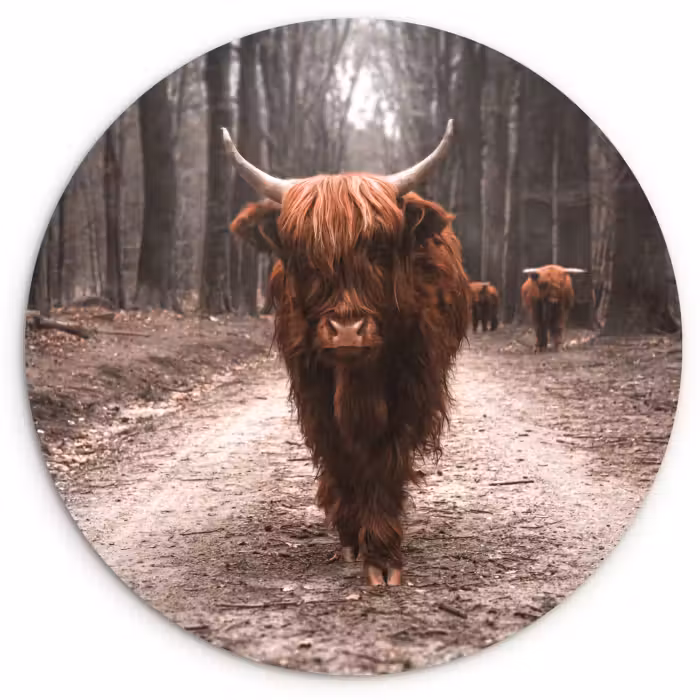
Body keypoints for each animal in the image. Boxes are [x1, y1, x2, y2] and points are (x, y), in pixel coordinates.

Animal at [223, 121, 470, 586]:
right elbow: (339, 453)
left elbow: (386, 459)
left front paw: (383, 553)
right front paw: (354, 536)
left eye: (377, 250)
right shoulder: (313, 392)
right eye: (304, 257)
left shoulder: (410, 389)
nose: (347, 331)